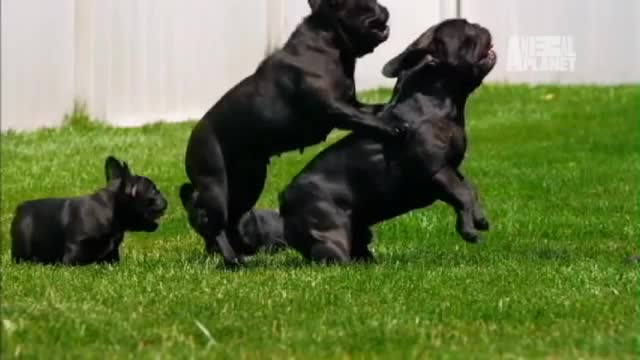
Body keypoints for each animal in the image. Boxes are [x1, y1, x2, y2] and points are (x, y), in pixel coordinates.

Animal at [10, 156, 168, 266]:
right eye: (154, 191)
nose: (165, 199)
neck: (111, 213)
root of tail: (20, 207)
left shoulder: (111, 255)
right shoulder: (74, 253)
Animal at [185, 0, 408, 264]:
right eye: (366, 5)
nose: (384, 7)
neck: (330, 44)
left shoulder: (352, 104)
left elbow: (375, 109)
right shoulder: (335, 108)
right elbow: (365, 119)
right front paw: (391, 126)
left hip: (248, 183)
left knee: (232, 219)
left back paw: (239, 255)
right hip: (216, 184)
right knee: (216, 224)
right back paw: (233, 260)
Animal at [278, 19, 496, 262]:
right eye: (467, 30)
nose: (480, 26)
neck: (436, 103)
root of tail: (284, 199)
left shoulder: (450, 170)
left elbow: (469, 189)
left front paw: (477, 219)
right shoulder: (437, 171)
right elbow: (462, 194)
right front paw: (469, 230)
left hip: (359, 229)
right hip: (330, 230)